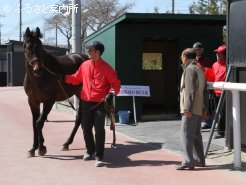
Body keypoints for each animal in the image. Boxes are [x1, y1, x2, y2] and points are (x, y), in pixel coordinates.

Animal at [23, 27, 88, 158]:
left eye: (40, 47)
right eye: (27, 47)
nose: (38, 70)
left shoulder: (49, 101)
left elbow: (39, 123)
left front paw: (41, 148)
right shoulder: (32, 102)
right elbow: (34, 123)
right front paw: (33, 148)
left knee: (80, 118)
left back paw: (68, 142)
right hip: (79, 93)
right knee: (80, 118)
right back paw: (68, 143)